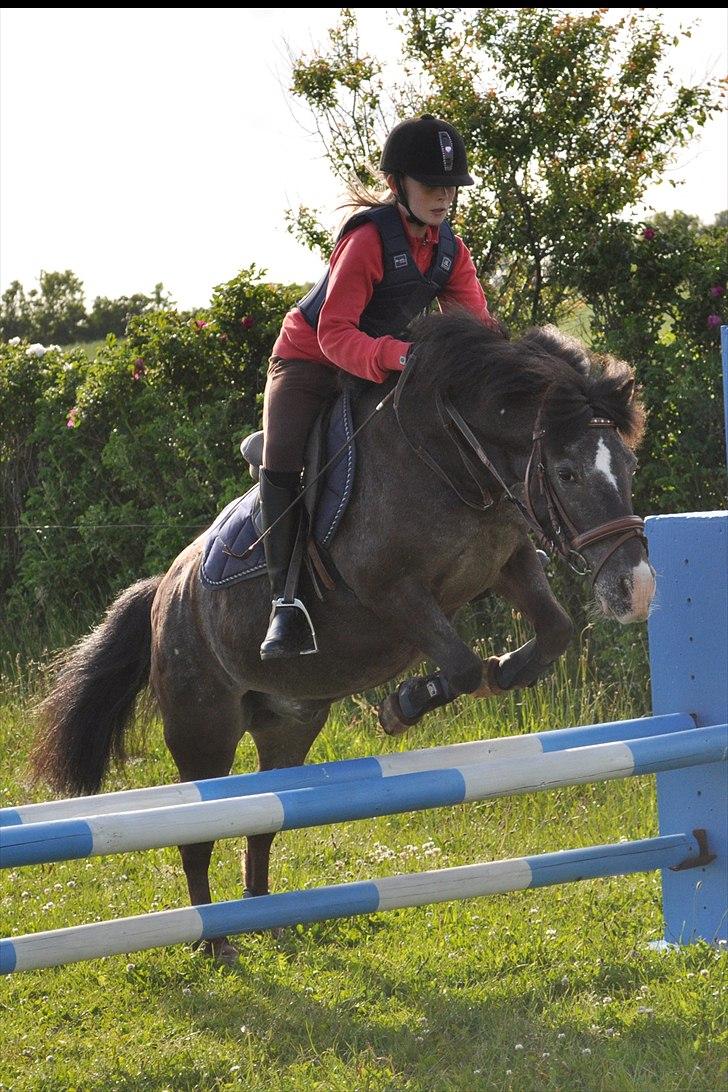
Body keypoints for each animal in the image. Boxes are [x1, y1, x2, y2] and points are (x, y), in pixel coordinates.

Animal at [31, 312, 654, 961]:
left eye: (629, 468)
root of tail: (164, 591)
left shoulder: (509, 560)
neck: (450, 462)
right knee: (197, 829)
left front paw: (500, 673)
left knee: (263, 817)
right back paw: (215, 941)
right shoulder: (390, 590)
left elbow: (553, 631)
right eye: (567, 473)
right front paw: (406, 703)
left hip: (289, 724)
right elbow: (458, 663)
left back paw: (269, 921)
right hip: (203, 728)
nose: (636, 590)